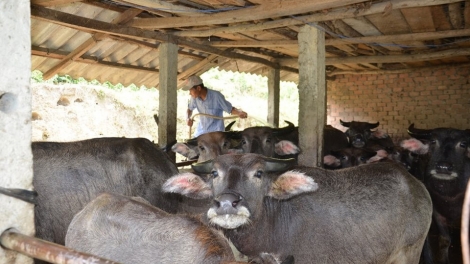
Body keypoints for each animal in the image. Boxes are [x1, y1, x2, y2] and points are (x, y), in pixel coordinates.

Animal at [404, 124, 470, 264]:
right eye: (433, 141)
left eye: (463, 144)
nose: (443, 167)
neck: (449, 197)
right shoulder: (436, 213)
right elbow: (444, 239)